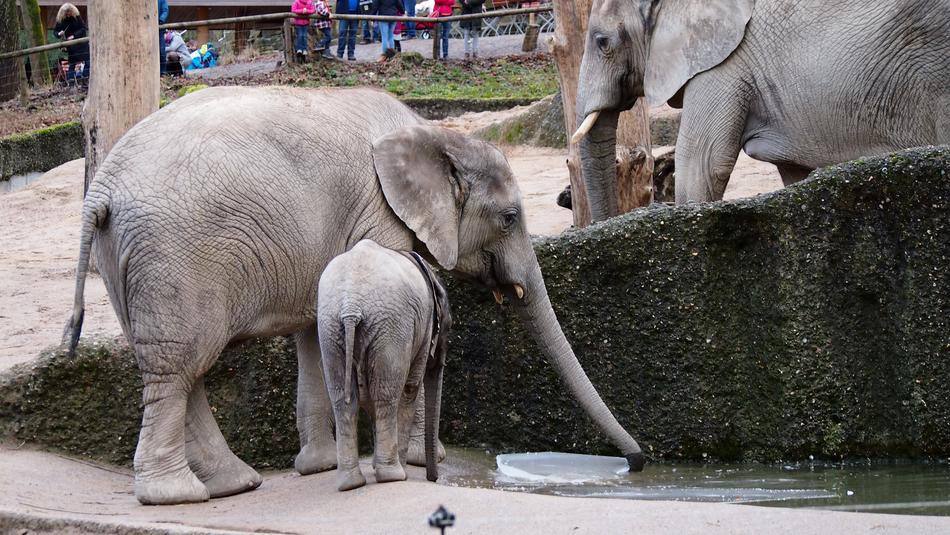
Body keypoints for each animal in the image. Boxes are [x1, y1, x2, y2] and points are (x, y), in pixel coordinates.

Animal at [317, 240, 451, 491]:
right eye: (448, 326)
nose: (434, 478)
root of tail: (351, 306)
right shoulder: (422, 326)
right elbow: (410, 388)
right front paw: (401, 470)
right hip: (391, 327)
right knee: (387, 395)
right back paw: (393, 475)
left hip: (331, 328)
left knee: (343, 401)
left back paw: (350, 483)